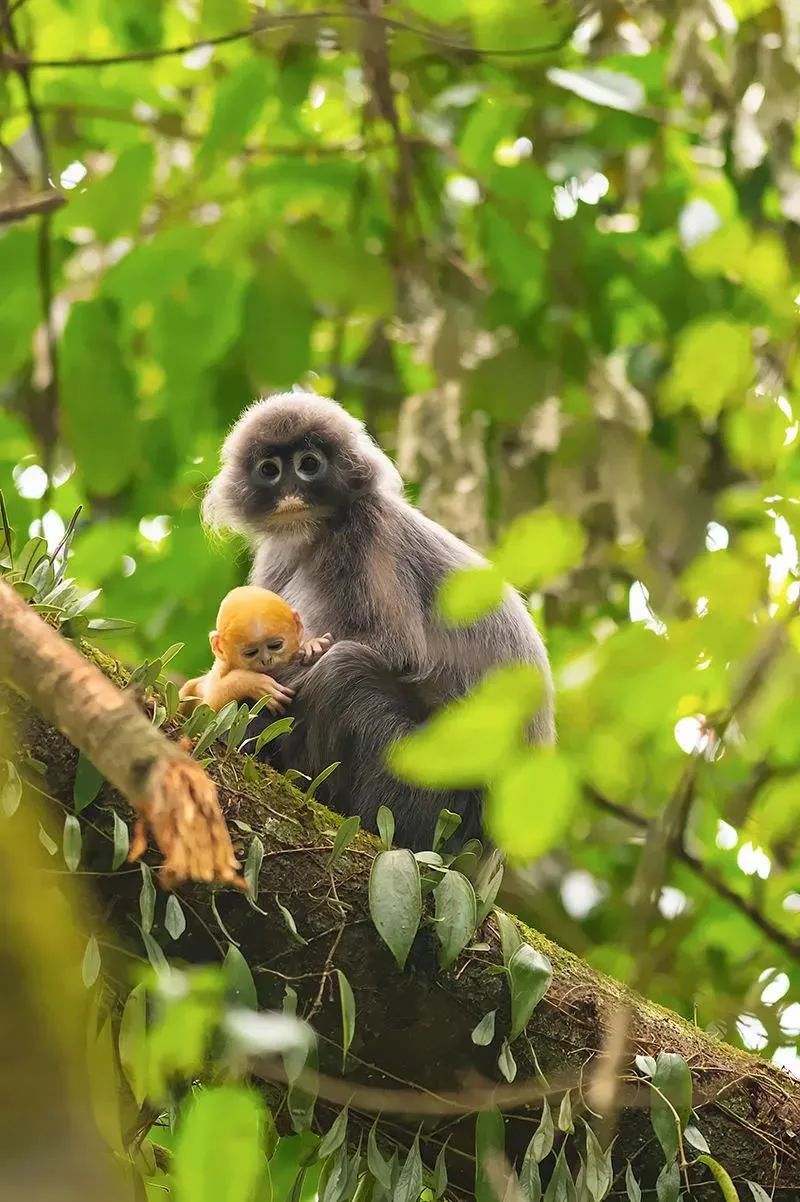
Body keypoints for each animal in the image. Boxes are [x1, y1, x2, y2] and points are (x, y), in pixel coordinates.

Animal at [177, 584, 329, 711]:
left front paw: (311, 645)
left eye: (276, 645)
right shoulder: (221, 668)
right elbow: (209, 707)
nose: (266, 660)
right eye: (251, 653)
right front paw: (250, 682)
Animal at [203, 396, 552, 865]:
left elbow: (395, 649)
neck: (317, 533)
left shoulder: (369, 529)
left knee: (344, 668)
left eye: (308, 464)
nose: (291, 493)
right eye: (270, 469)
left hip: (431, 798)